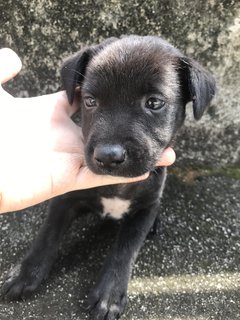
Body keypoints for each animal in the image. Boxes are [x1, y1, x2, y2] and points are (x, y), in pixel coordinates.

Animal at [1, 35, 216, 320]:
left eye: (154, 103)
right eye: (90, 101)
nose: (108, 156)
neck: (116, 185)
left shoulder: (145, 208)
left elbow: (124, 250)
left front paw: (109, 293)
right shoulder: (65, 200)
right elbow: (47, 234)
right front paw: (26, 272)